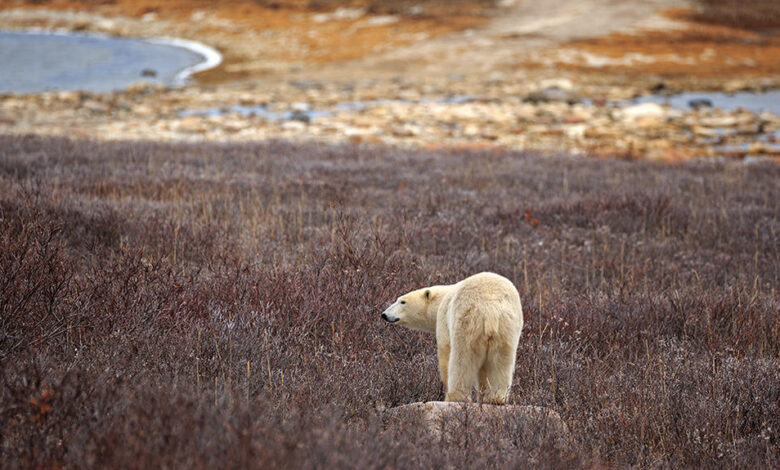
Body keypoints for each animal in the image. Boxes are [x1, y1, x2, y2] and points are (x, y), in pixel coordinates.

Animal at [382, 272, 524, 404]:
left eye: (402, 301)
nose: (384, 314)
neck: (442, 298)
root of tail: (491, 308)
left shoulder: (443, 318)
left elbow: (445, 352)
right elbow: (484, 370)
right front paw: (482, 397)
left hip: (467, 320)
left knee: (462, 359)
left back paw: (456, 396)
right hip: (507, 327)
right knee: (501, 361)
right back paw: (496, 398)